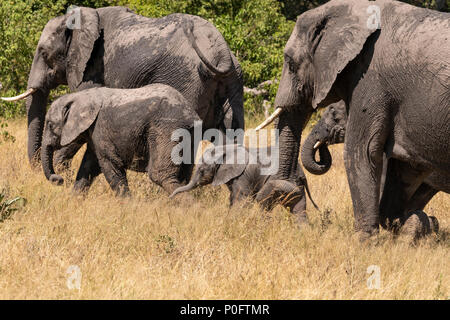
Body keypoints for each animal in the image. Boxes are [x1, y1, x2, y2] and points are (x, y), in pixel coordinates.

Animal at [42, 84, 200, 195]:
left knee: (161, 175)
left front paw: (129, 207)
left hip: (167, 129)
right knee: (184, 174)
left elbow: (110, 165)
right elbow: (88, 166)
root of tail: (190, 113)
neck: (80, 96)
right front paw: (74, 199)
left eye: (49, 125)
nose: (59, 179)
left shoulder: (100, 128)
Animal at [171, 144, 318, 224]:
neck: (225, 149)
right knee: (299, 209)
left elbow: (241, 200)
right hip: (296, 184)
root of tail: (302, 173)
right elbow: (233, 198)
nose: (170, 198)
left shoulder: (243, 175)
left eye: (201, 170)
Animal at [256, 0, 450, 240]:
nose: (293, 185)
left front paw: (365, 241)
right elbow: (406, 168)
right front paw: (413, 225)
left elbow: (361, 151)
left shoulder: (370, 80)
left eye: (290, 63)